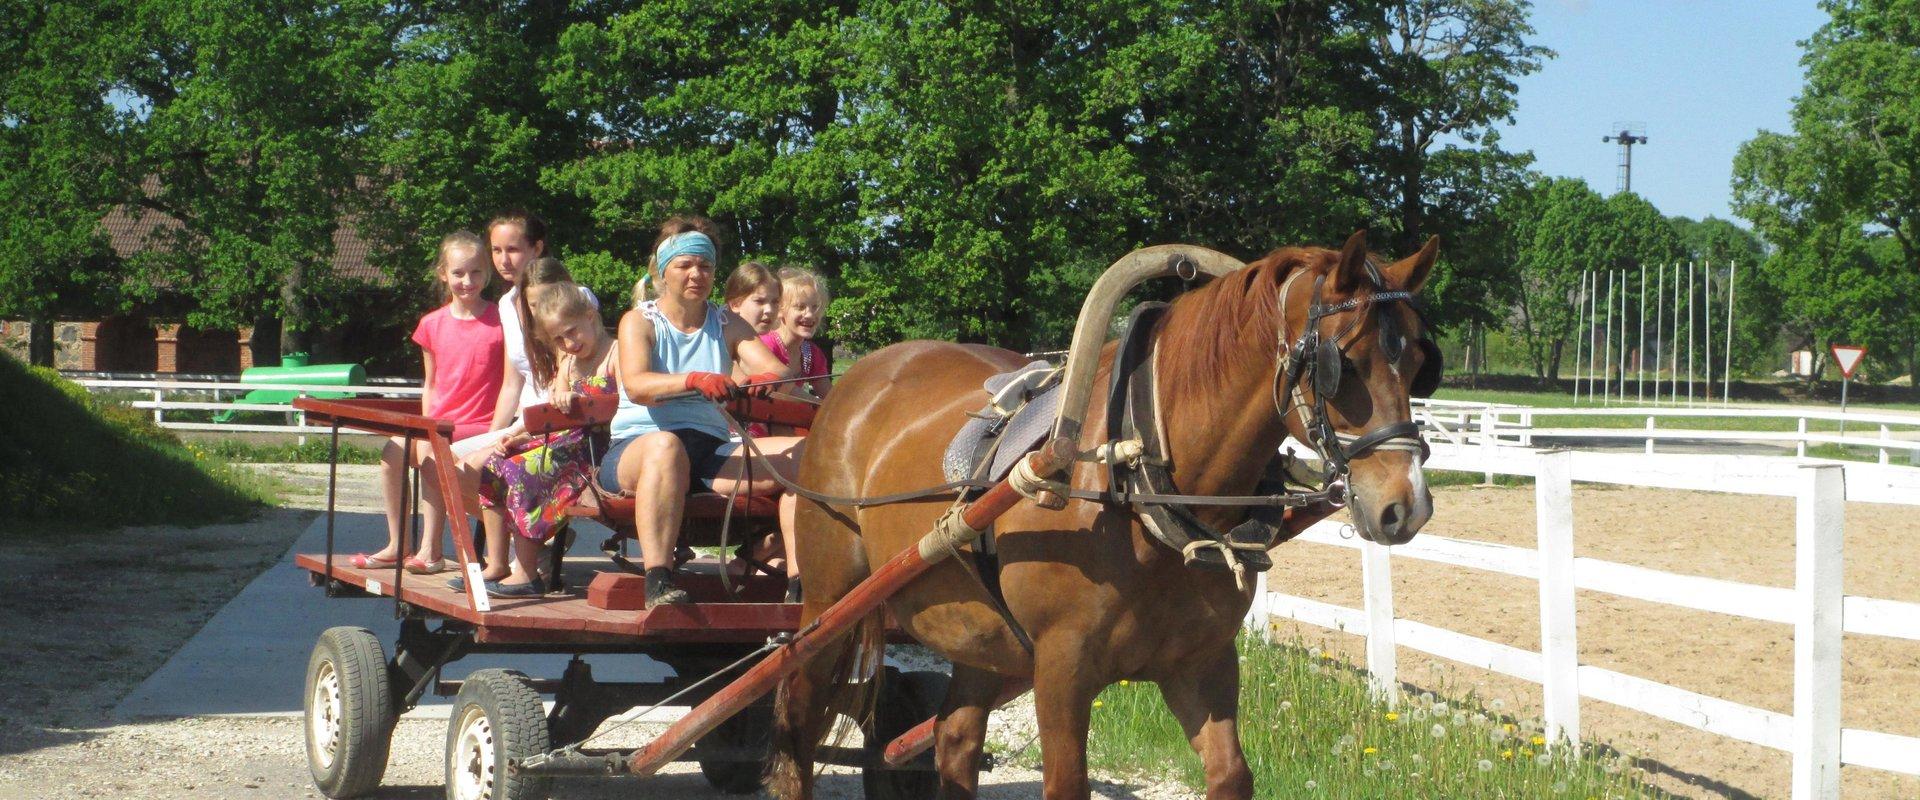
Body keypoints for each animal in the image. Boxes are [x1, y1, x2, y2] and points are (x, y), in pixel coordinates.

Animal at [771, 232, 1436, 798]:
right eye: (1342, 364)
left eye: (1418, 363)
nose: (1405, 507)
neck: (1138, 481)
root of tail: (857, 378)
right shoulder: (1061, 670)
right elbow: (1066, 782)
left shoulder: (1202, 663)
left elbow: (1231, 775)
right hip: (830, 597)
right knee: (798, 711)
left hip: (978, 629)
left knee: (953, 740)